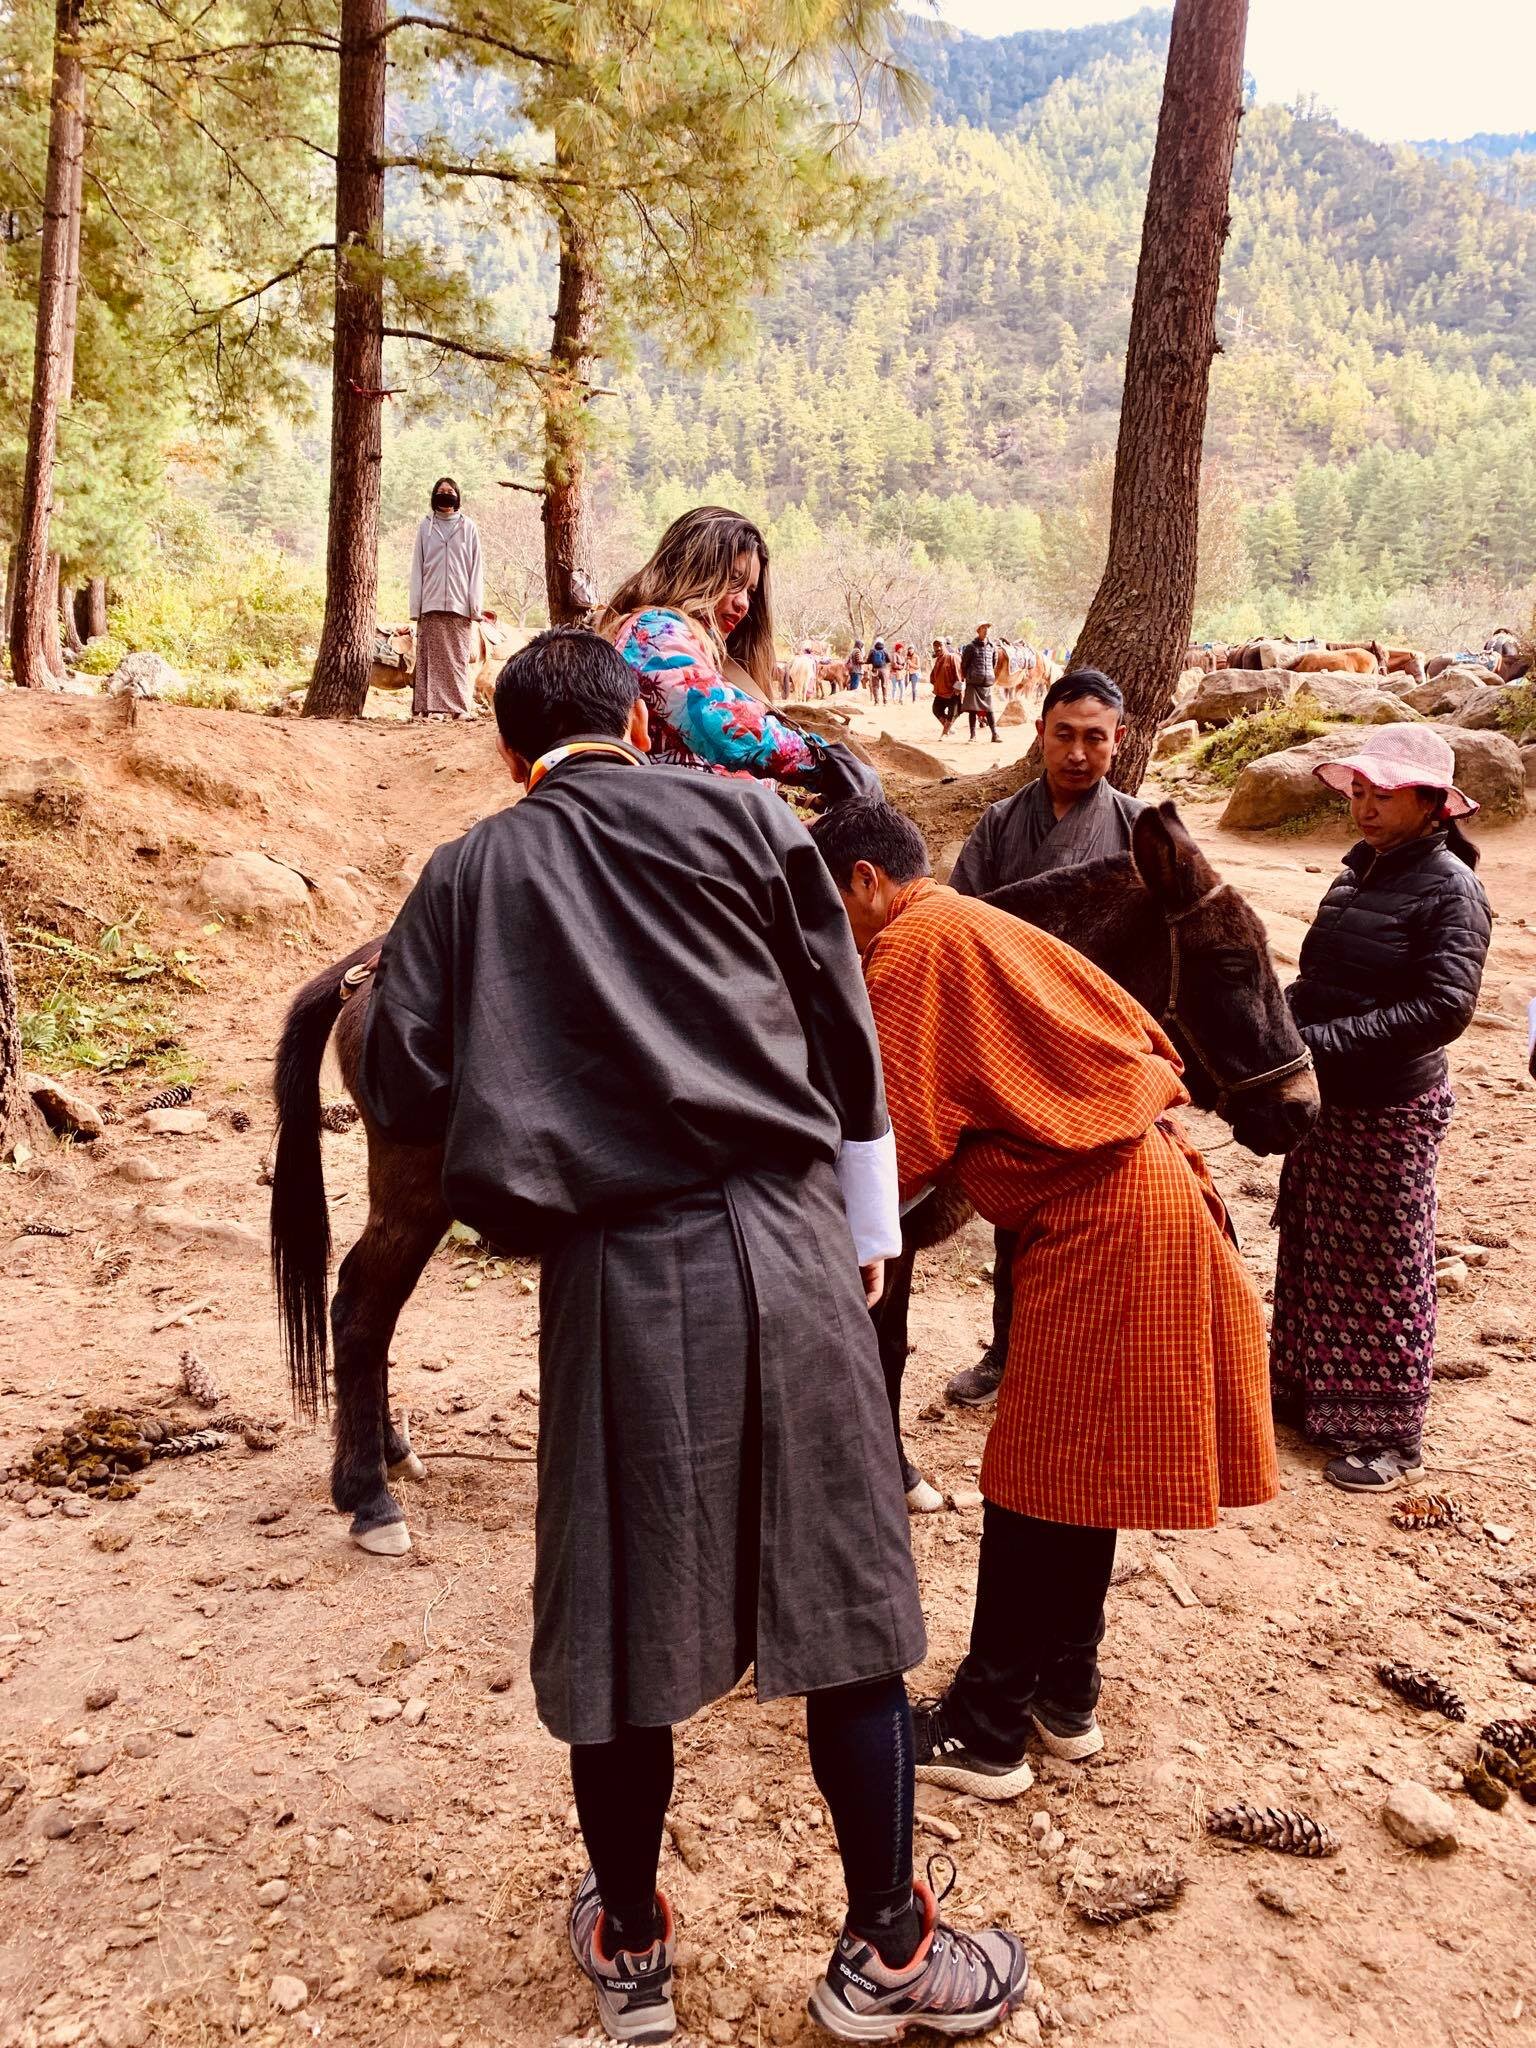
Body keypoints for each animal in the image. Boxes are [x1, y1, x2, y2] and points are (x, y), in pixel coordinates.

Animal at [268, 798, 1327, 1548]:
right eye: (1233, 964)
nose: (1304, 1108)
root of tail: (374, 966)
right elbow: (879, 1350)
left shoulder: (892, 1234)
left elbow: (889, 1345)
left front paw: (901, 1475)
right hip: (414, 1191)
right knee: (360, 1302)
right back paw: (366, 1494)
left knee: (372, 1308)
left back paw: (387, 1448)